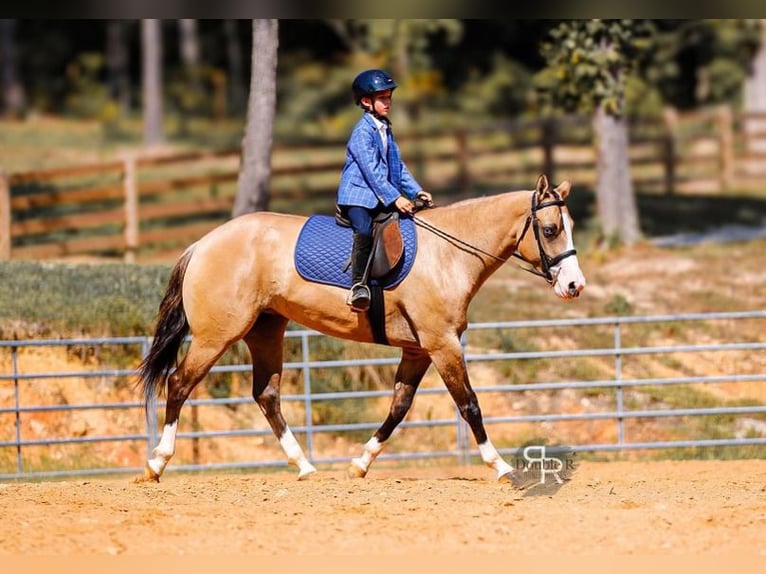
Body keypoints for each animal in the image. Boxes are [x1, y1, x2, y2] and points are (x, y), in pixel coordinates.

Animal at [136, 174, 586, 484]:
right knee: (179, 383)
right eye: (550, 230)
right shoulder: (442, 344)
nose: (574, 286)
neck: (448, 254)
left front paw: (360, 463)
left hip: (265, 331)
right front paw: (501, 466)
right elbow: (469, 403)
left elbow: (399, 407)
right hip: (216, 336)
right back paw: (156, 462)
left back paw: (304, 466)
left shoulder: (418, 349)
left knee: (266, 395)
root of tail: (202, 244)